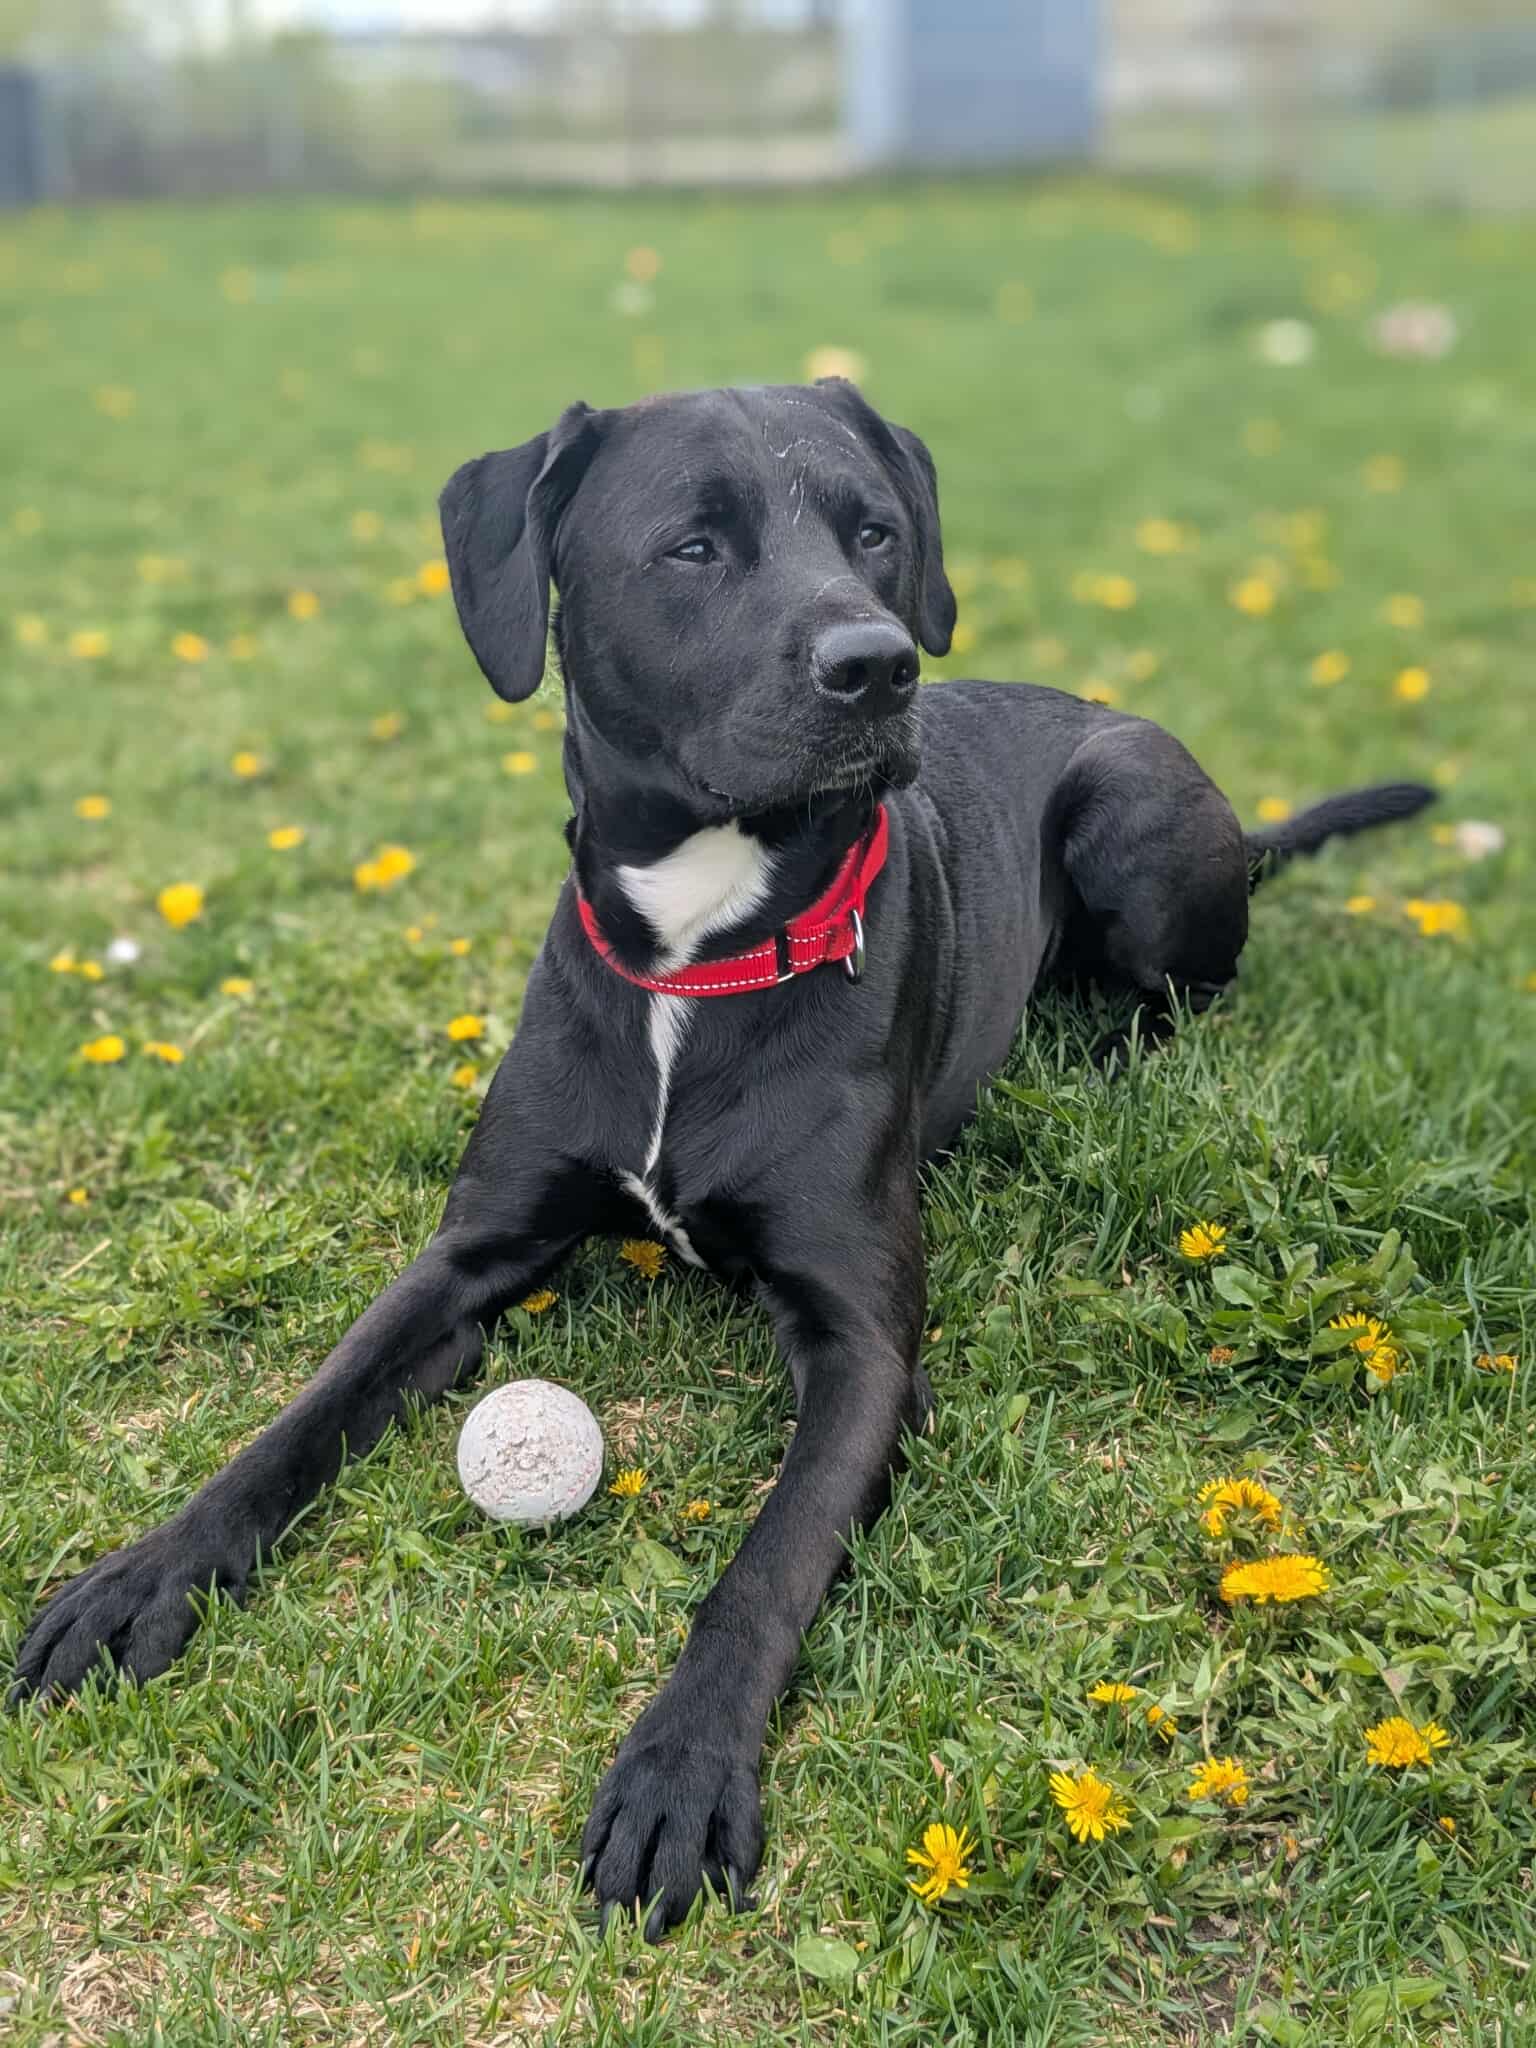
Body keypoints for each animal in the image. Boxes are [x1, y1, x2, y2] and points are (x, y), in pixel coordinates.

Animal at [13, 380, 1432, 1939]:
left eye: (873, 532)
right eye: (693, 546)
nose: (879, 667)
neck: (699, 954)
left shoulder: (863, 1344)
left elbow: (763, 1566)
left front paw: (681, 1767)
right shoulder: (469, 1251)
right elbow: (297, 1418)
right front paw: (142, 1575)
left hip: (1132, 810)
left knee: (1175, 1003)